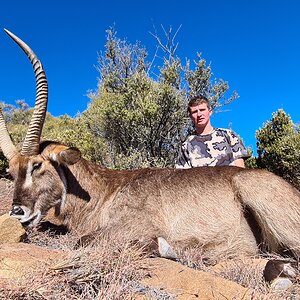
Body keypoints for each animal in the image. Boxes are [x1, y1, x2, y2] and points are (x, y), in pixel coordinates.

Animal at [1, 29, 300, 262]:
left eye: (37, 165)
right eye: (11, 173)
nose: (17, 212)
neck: (106, 190)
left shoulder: (133, 226)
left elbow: (83, 241)